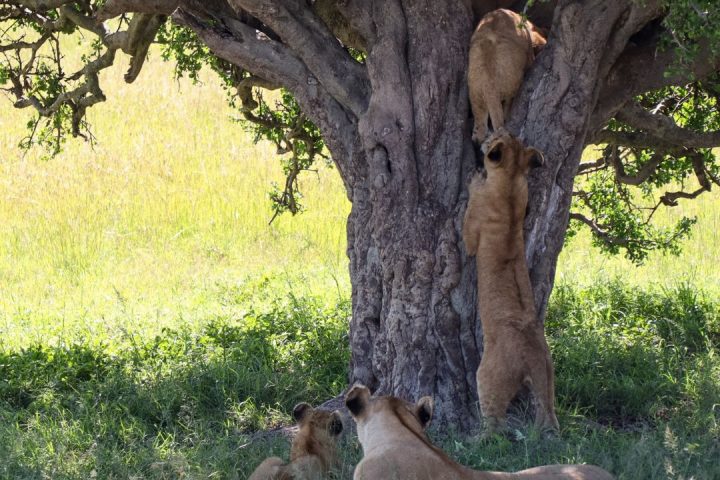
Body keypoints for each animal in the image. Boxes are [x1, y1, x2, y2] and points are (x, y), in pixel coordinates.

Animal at [462, 130, 558, 435]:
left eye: (497, 136)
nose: (485, 136)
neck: (511, 178)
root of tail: (533, 354)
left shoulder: (471, 234)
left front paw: (474, 177)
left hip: (489, 376)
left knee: (495, 423)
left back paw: (478, 439)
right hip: (548, 377)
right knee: (547, 411)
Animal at [468, 9, 547, 142]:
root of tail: (488, 81)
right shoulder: (530, 56)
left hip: (475, 92)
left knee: (480, 124)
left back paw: (477, 136)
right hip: (513, 83)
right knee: (508, 105)